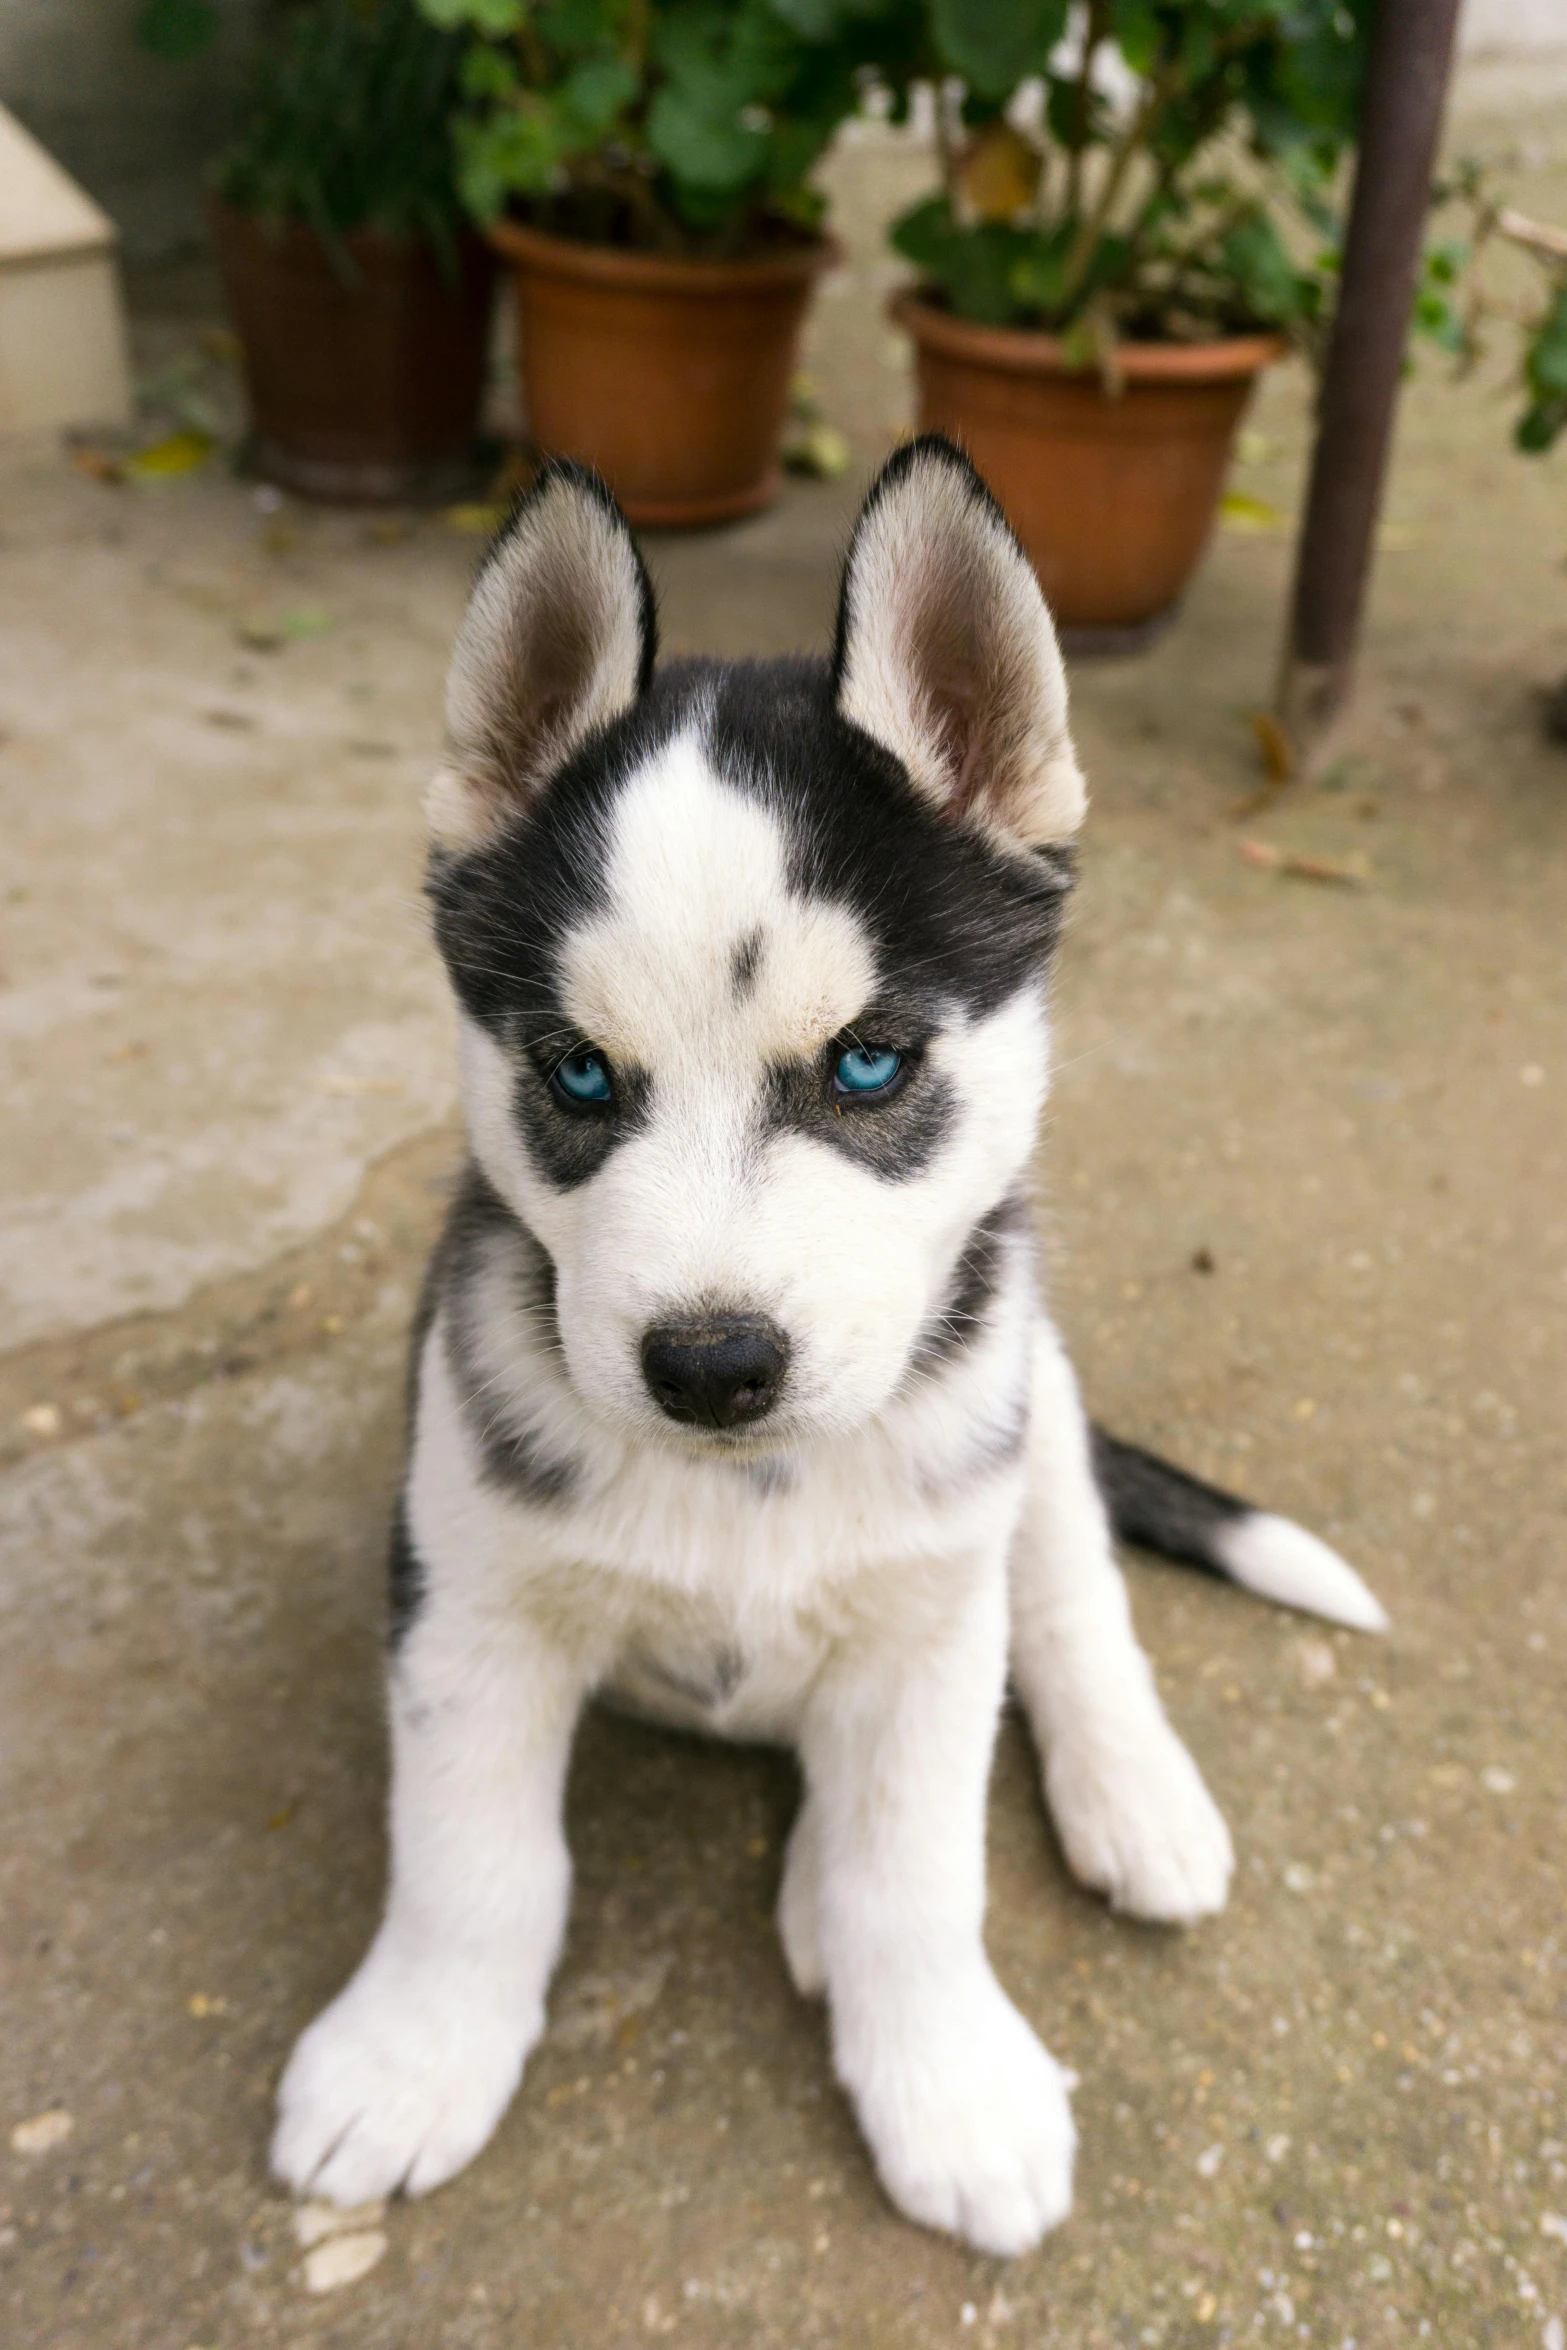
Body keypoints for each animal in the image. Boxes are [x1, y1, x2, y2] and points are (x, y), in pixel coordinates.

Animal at [276, 437, 1390, 2256]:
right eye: (575, 1074)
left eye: (868, 1064)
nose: (710, 1365)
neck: (751, 1491)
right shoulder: (463, 1595)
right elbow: (468, 1862)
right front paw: (411, 2054)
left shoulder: (938, 1607)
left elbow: (917, 1873)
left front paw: (946, 2080)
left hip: (1034, 1414)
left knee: (1070, 1610)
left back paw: (1130, 1795)